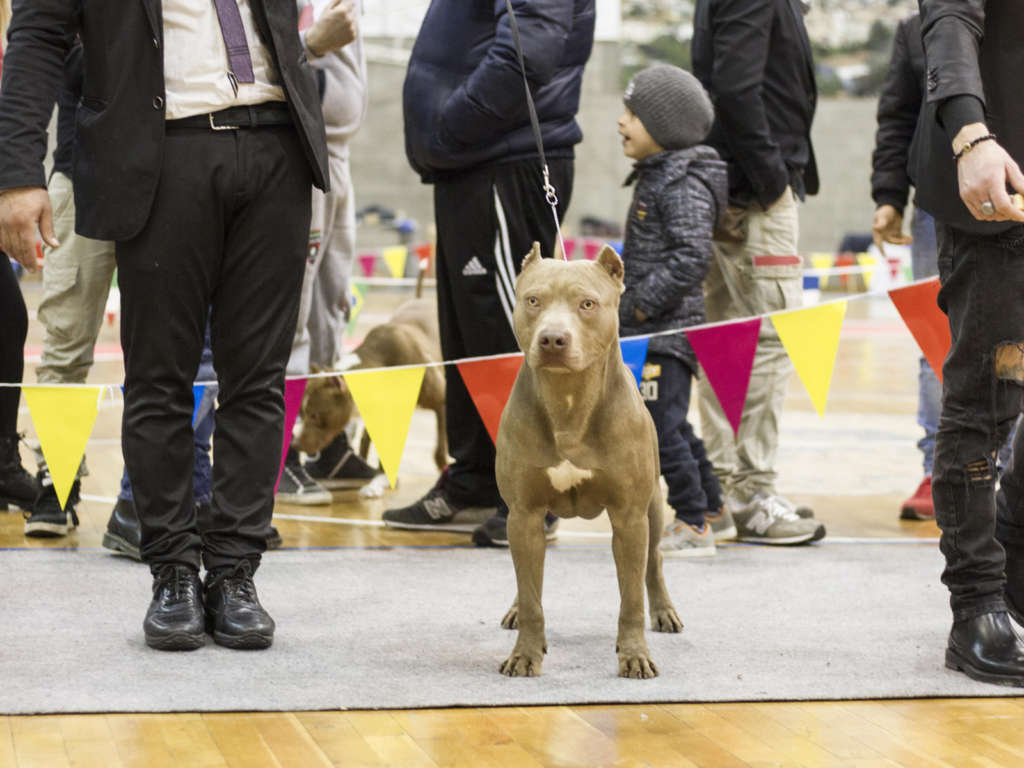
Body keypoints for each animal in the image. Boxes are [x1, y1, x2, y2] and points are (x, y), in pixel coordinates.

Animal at [493, 240, 679, 679]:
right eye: (533, 301)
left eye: (588, 304)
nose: (552, 339)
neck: (568, 400)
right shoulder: (523, 512)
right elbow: (532, 594)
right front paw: (525, 653)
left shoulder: (629, 517)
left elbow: (631, 598)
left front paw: (634, 654)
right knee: (527, 578)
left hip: (651, 507)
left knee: (653, 562)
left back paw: (664, 610)